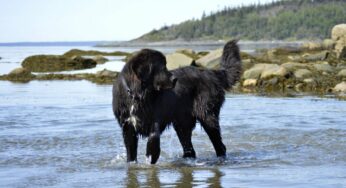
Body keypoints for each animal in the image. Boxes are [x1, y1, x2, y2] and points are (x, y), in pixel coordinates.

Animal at [113, 40, 241, 164]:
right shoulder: (127, 126)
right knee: (189, 148)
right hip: (182, 123)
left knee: (219, 144)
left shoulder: (155, 119)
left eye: (165, 65)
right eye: (161, 67)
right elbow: (131, 151)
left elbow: (153, 138)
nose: (175, 79)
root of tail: (211, 73)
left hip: (207, 115)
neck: (137, 95)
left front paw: (150, 158)